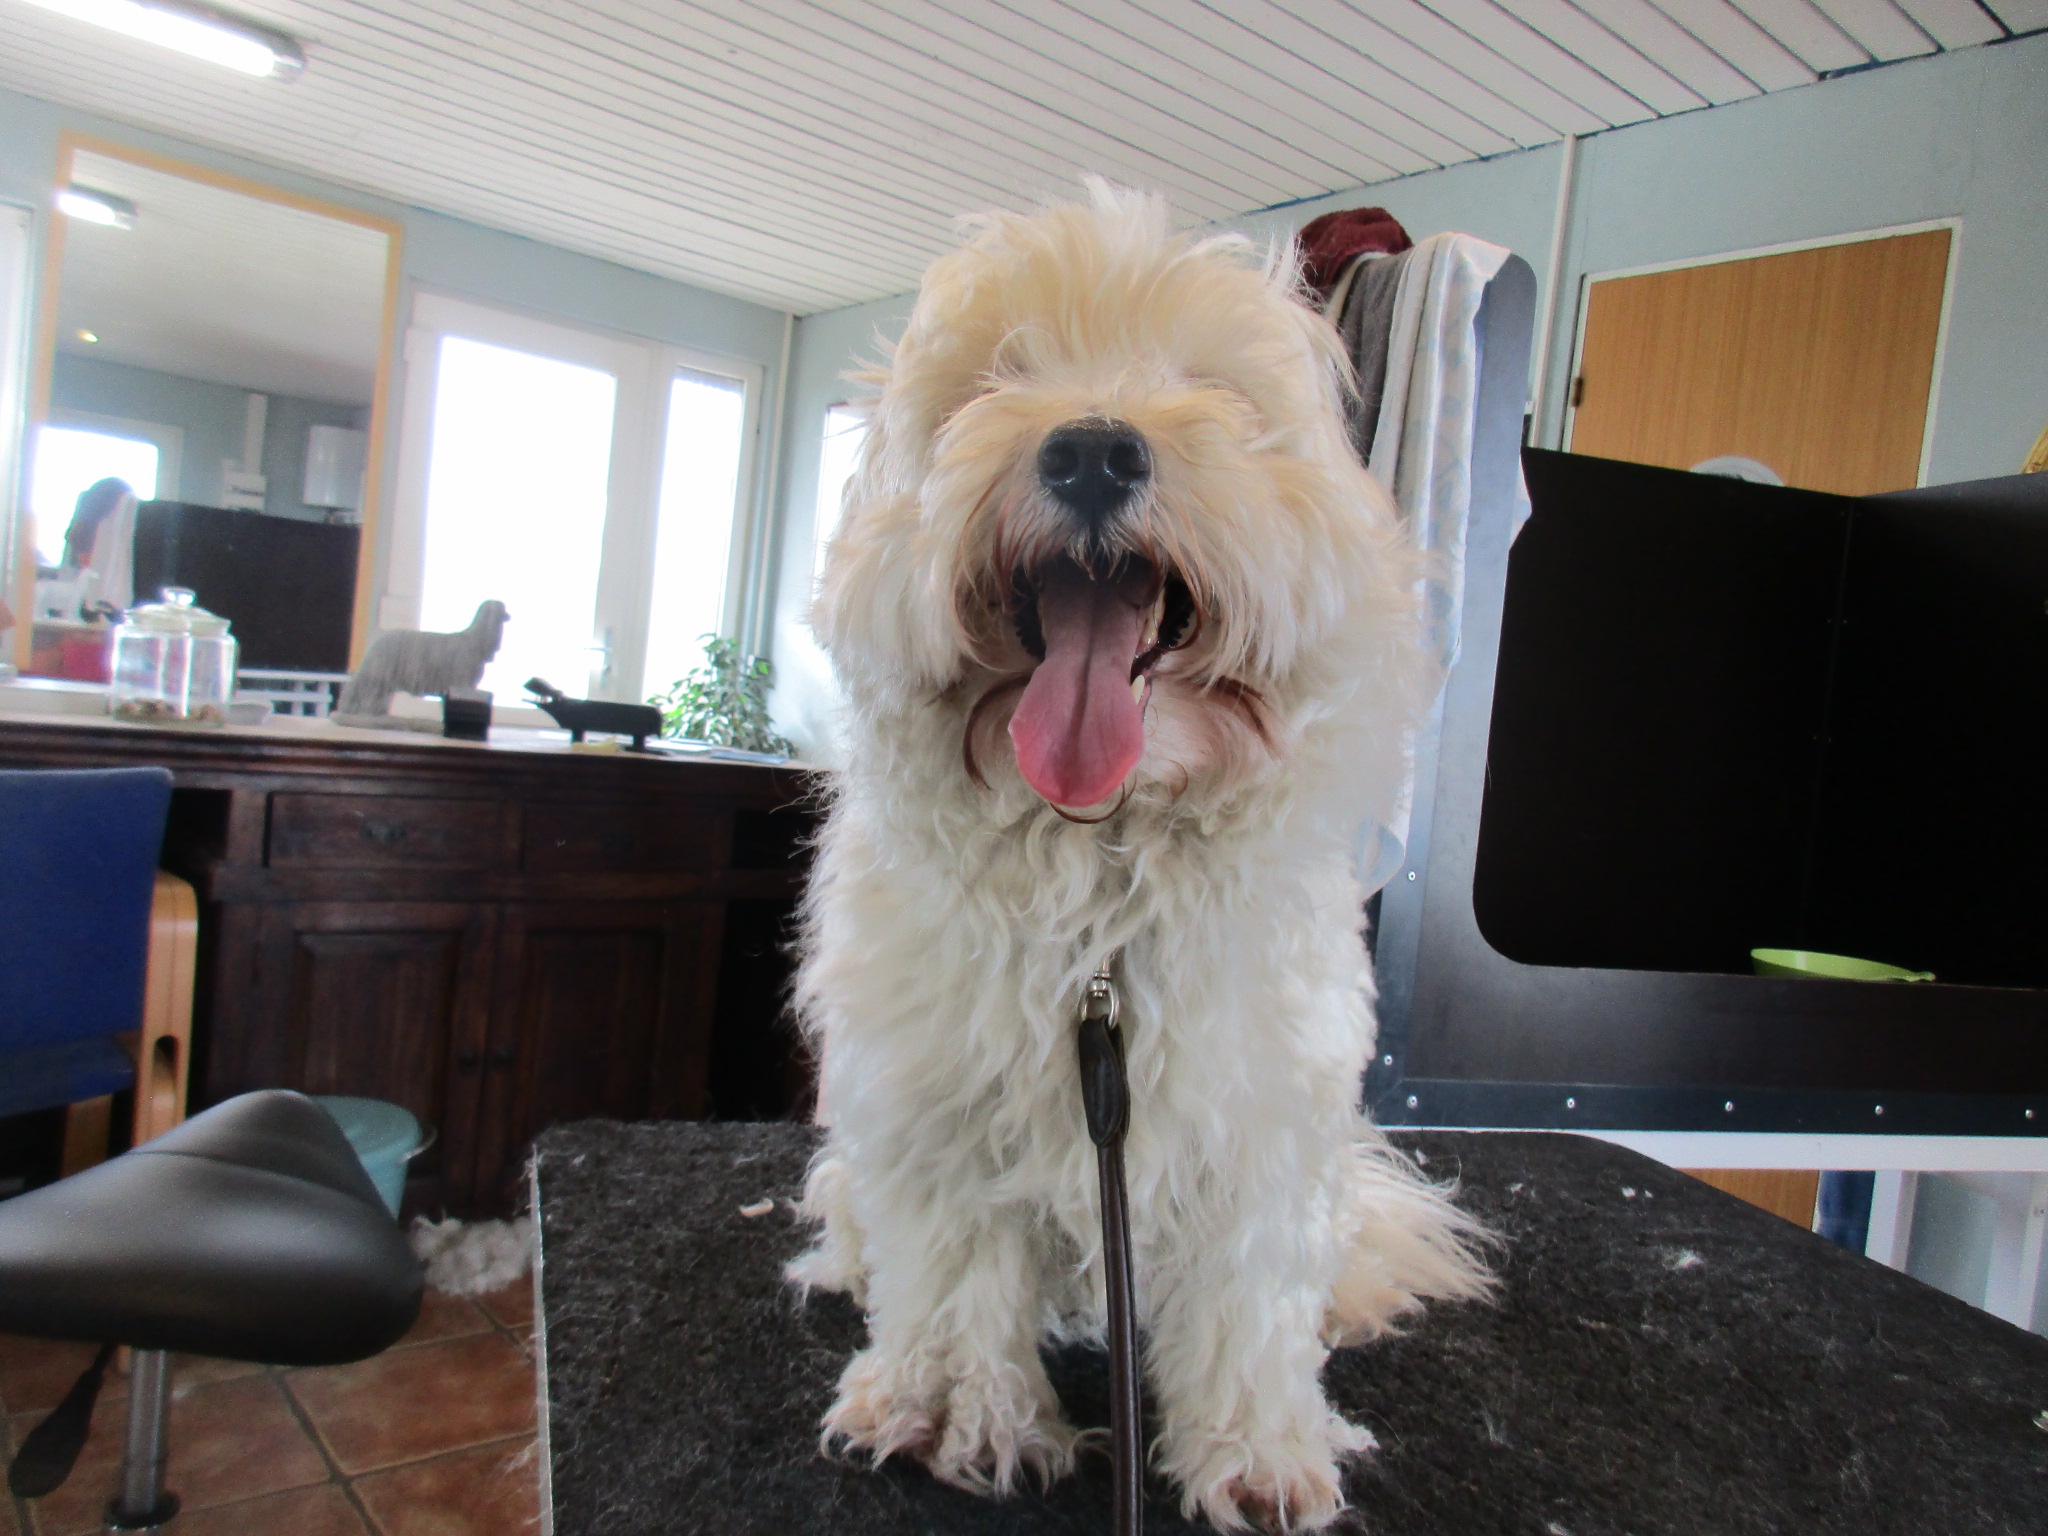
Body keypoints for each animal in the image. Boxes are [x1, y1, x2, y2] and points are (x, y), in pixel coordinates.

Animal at [789, 185, 1491, 1532]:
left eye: (1205, 385)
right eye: (996, 377)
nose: (1091, 451)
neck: (1098, 868)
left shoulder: (1256, 1110)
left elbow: (1247, 1302)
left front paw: (1257, 1454)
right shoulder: (936, 1102)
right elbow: (953, 1269)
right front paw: (955, 1414)